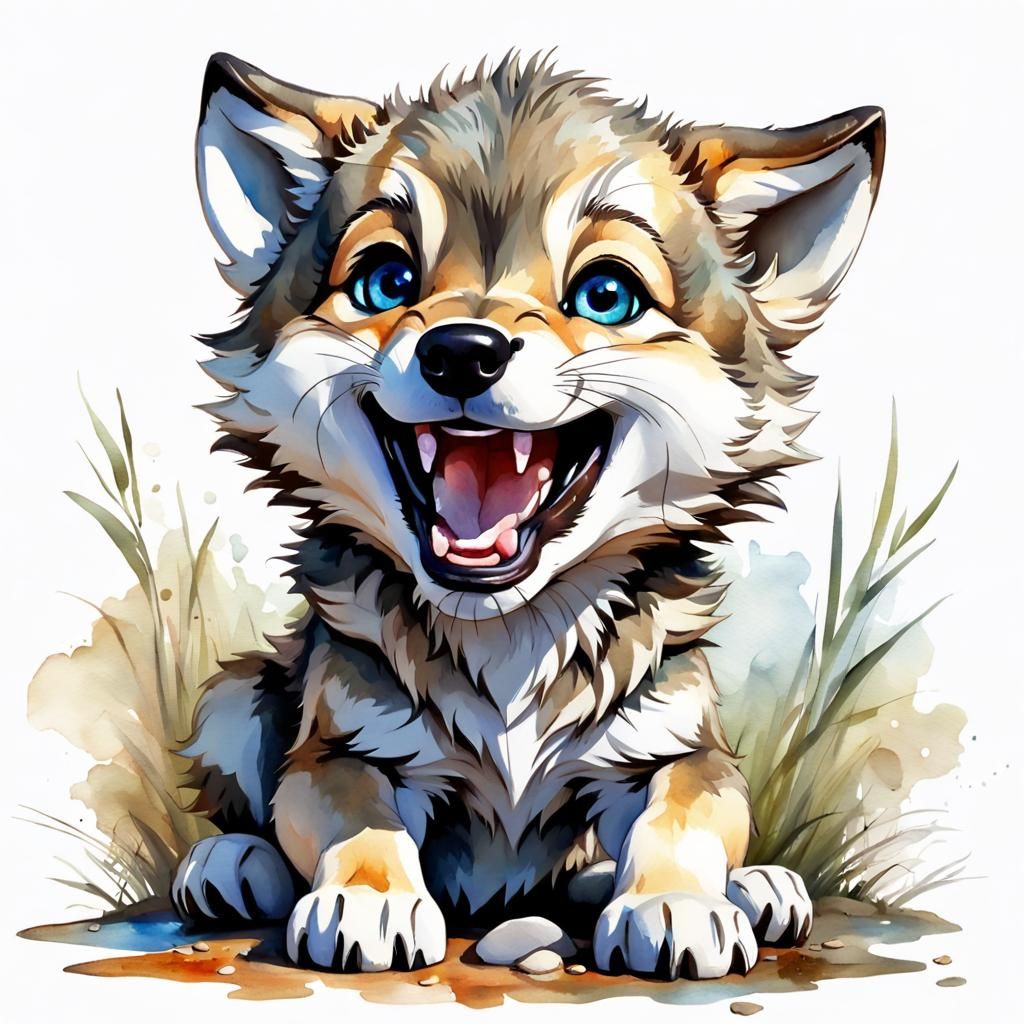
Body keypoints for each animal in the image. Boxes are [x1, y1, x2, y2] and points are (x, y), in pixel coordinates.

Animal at [172, 52, 884, 979]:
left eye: (607, 295)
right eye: (386, 281)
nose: (460, 353)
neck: (509, 635)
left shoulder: (677, 747)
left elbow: (683, 817)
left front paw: (676, 903)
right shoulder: (342, 748)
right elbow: (353, 817)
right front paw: (369, 897)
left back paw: (759, 887)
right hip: (232, 696)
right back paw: (230, 863)